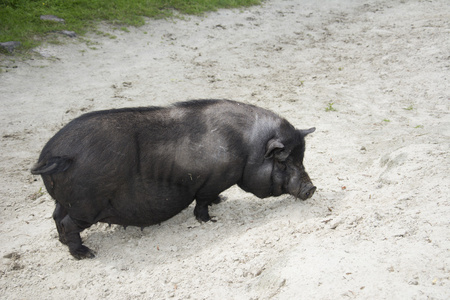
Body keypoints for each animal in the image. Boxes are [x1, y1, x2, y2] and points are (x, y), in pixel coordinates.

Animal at [31, 99, 314, 258]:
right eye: (283, 161)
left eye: (301, 157)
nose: (311, 188)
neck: (247, 149)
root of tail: (52, 155)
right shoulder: (211, 181)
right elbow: (202, 203)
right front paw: (211, 220)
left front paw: (221, 203)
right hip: (85, 205)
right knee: (66, 222)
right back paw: (86, 254)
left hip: (66, 200)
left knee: (56, 216)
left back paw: (65, 243)